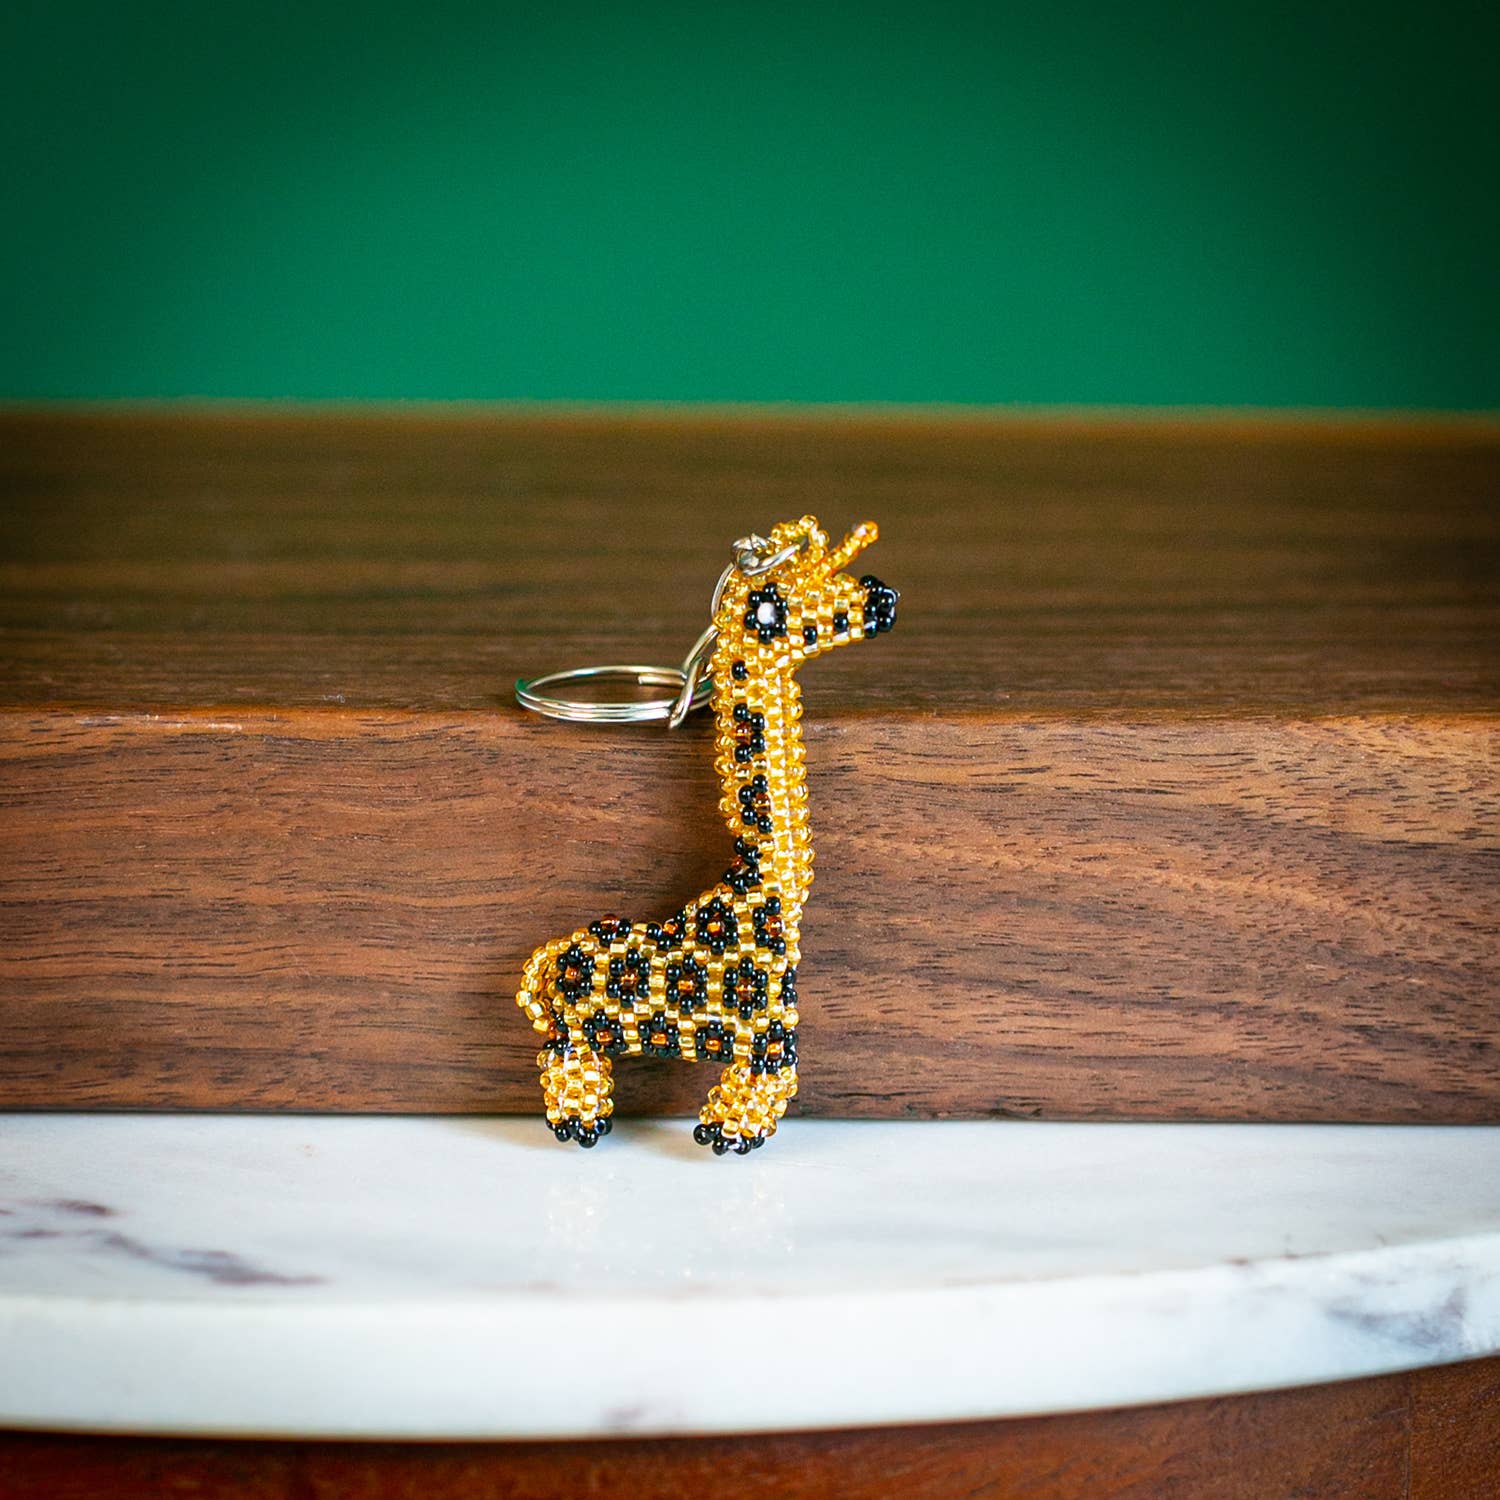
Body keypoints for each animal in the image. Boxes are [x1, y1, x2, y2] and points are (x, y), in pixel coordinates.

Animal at [516, 516, 898, 1154]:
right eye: (776, 605)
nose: (880, 599)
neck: (768, 882)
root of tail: (543, 963)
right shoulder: (771, 1038)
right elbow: (765, 1094)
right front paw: (726, 1129)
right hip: (579, 1037)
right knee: (564, 1074)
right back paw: (582, 1126)